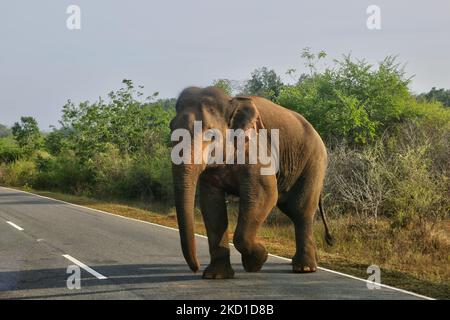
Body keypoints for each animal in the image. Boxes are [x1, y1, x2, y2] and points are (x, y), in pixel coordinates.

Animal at [171, 86, 332, 278]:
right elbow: (211, 204)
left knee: (300, 210)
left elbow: (265, 194)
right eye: (171, 129)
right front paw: (216, 276)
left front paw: (257, 261)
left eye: (211, 134)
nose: (195, 268)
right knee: (291, 208)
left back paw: (304, 269)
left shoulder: (256, 150)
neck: (231, 102)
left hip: (314, 162)